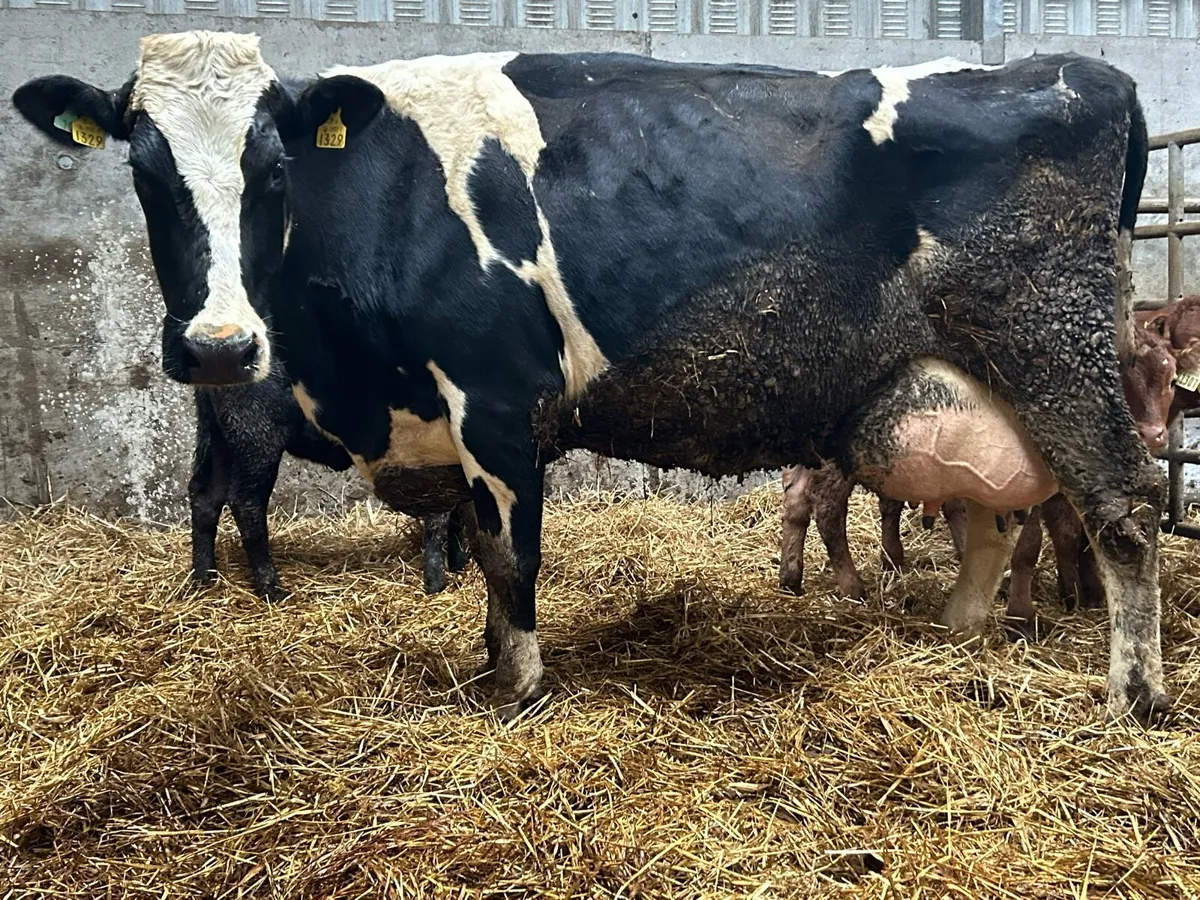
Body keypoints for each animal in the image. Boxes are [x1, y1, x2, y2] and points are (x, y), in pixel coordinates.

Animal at [13, 33, 1167, 721]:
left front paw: (516, 687)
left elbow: (508, 552)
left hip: (1054, 353)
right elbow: (480, 556)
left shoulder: (494, 397)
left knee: (1125, 513)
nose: (217, 348)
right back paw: (953, 640)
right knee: (993, 522)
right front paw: (489, 661)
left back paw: (1134, 696)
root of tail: (1089, 71)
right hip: (964, 387)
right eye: (142, 165)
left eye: (273, 165)